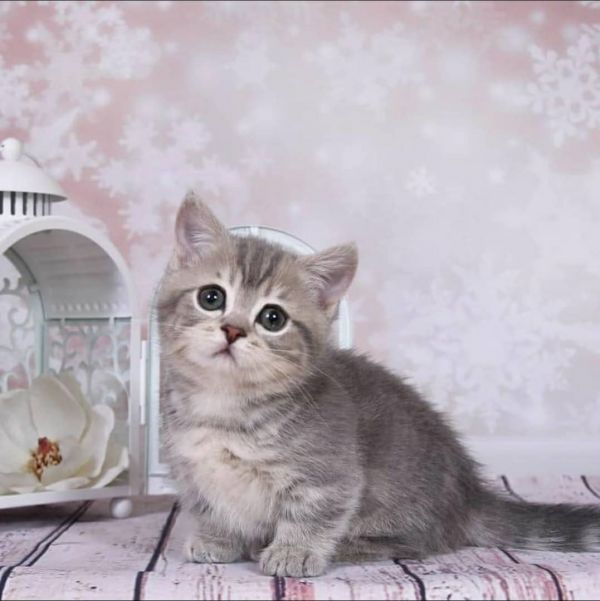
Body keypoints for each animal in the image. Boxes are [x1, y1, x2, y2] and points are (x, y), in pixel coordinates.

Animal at [159, 193, 600, 576]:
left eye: (273, 318)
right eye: (212, 297)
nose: (233, 330)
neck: (224, 405)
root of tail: (470, 494)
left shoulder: (331, 474)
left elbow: (312, 513)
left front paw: (294, 551)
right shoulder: (194, 473)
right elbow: (213, 508)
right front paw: (218, 540)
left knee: (420, 542)